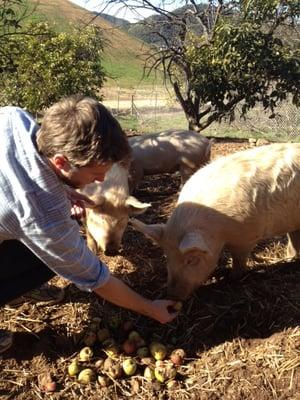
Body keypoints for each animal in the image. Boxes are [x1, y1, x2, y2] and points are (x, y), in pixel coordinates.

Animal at [131, 144, 300, 300]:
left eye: (191, 260)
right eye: (166, 256)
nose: (172, 296)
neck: (218, 228)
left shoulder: (247, 237)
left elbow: (239, 260)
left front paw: (231, 278)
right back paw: (289, 259)